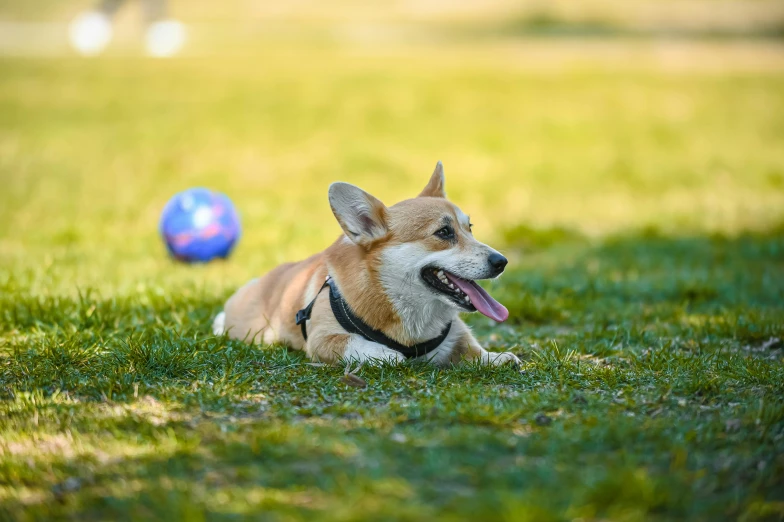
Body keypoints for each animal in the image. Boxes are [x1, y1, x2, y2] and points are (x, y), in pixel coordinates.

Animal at [214, 162, 520, 366]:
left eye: (470, 228)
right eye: (444, 233)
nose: (502, 262)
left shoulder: (456, 332)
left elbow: (472, 348)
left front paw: (496, 357)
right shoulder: (322, 338)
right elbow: (359, 345)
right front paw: (389, 354)